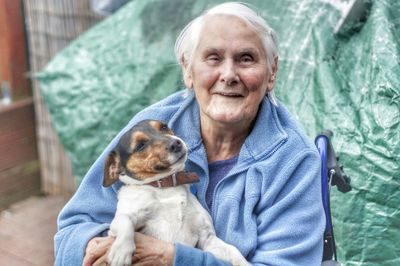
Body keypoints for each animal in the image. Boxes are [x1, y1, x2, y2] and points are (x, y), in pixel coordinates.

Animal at [101, 120, 248, 266]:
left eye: (164, 127)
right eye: (140, 145)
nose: (176, 143)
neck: (166, 187)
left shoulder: (207, 238)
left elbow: (233, 251)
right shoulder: (117, 224)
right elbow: (125, 221)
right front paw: (121, 251)